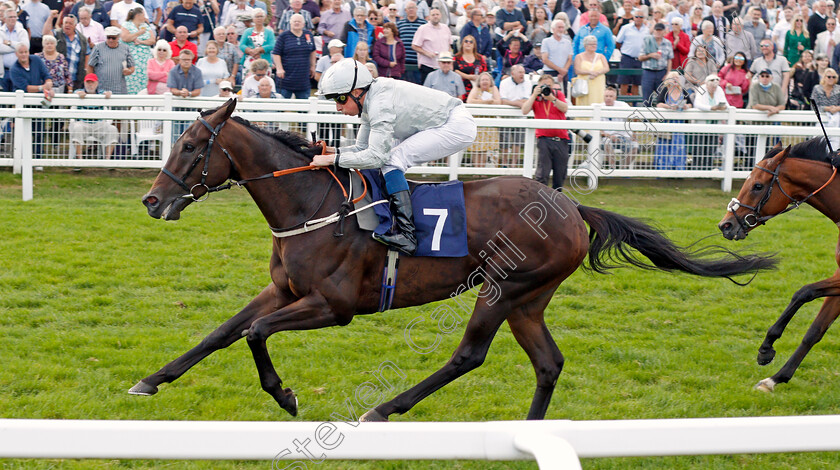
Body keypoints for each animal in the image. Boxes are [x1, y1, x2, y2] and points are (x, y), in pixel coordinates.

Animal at [136, 98, 776, 418]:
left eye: (190, 146)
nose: (152, 200)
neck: (310, 204)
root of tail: (570, 206)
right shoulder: (285, 291)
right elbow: (223, 332)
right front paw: (150, 380)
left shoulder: (333, 307)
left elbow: (256, 334)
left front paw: (286, 395)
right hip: (530, 299)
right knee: (548, 364)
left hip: (504, 287)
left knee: (469, 355)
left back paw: (384, 408)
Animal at [720, 137, 840, 392]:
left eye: (757, 185)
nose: (725, 225)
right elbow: (814, 330)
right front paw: (775, 376)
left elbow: (804, 292)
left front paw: (767, 348)